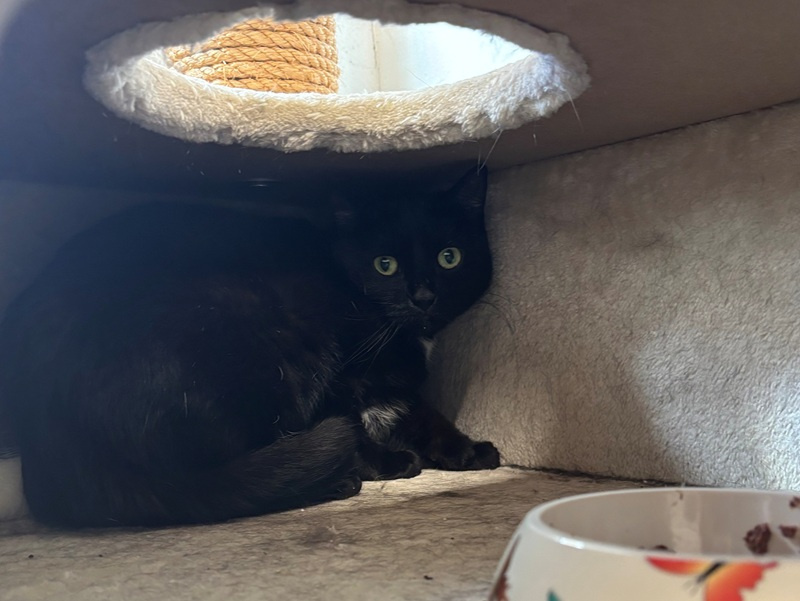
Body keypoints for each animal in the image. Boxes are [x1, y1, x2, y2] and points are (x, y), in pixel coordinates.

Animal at [0, 168, 499, 527]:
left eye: (449, 257)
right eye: (385, 265)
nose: (424, 296)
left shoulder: (395, 387)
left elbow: (426, 415)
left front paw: (469, 451)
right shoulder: (340, 381)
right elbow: (356, 426)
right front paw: (390, 461)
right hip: (262, 342)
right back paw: (337, 482)